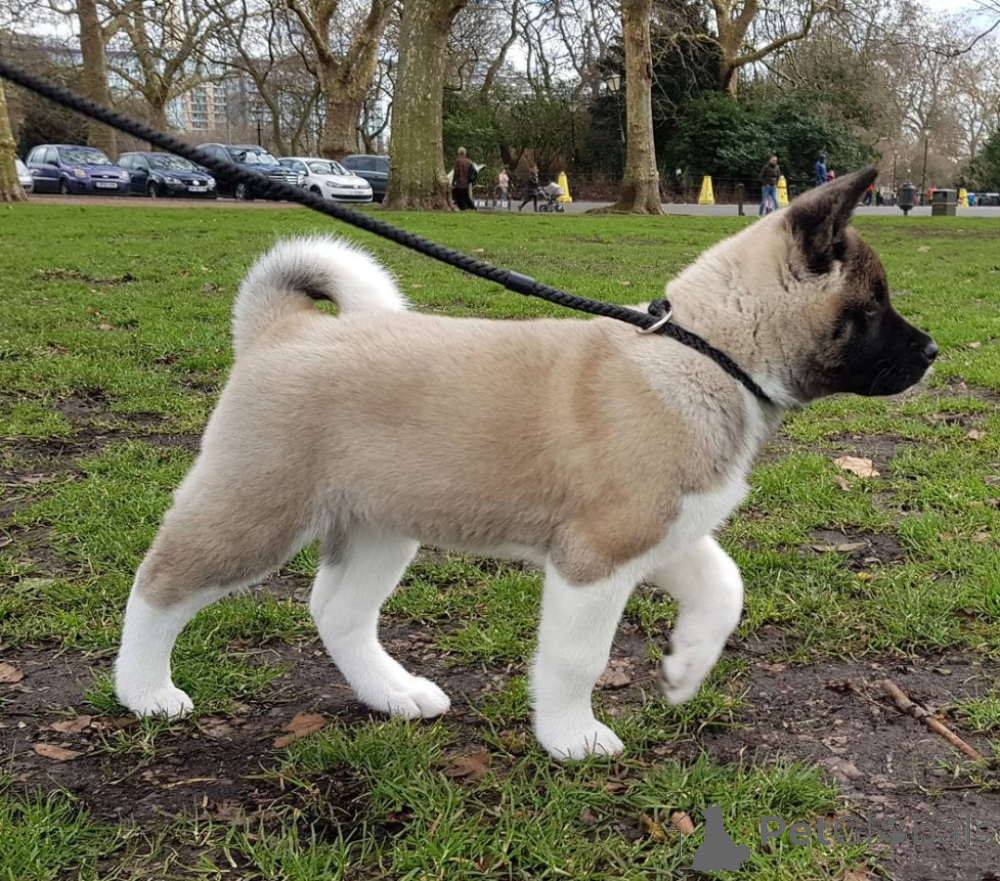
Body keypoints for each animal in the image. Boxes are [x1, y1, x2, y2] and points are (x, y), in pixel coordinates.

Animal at [115, 169, 936, 761]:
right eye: (872, 307)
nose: (931, 350)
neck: (705, 357)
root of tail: (281, 331)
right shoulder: (595, 558)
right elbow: (577, 657)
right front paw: (571, 737)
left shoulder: (663, 534)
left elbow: (724, 588)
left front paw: (685, 669)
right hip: (256, 510)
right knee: (158, 583)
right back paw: (144, 691)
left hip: (382, 523)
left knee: (337, 611)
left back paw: (392, 694)